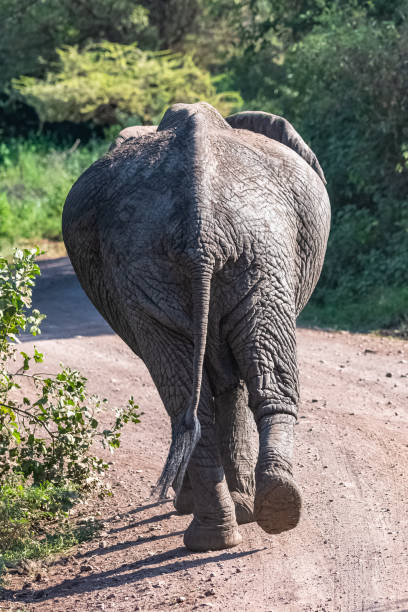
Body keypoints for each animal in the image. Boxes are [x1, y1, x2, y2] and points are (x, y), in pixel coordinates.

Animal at [62, 103, 330, 552]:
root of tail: (201, 227)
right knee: (225, 392)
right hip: (229, 262)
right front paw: (238, 507)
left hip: (238, 258)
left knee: (201, 398)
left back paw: (243, 519)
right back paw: (243, 522)